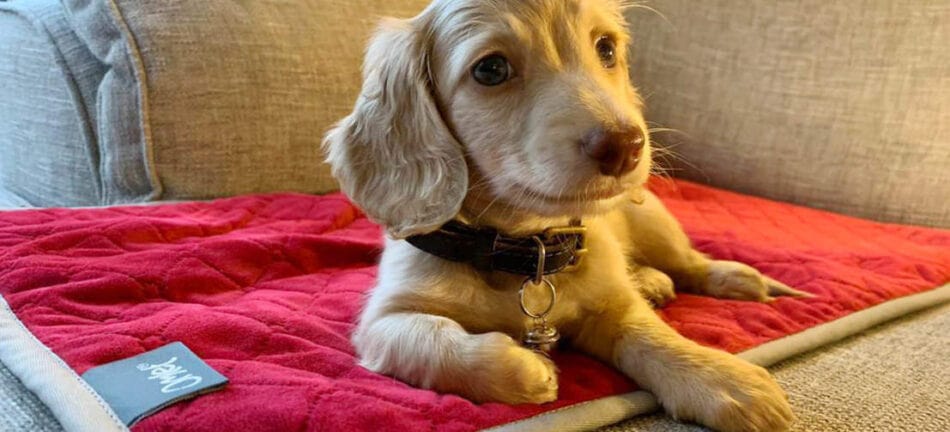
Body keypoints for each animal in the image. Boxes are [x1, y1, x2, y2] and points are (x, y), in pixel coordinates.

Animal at [326, 1, 804, 430]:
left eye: (606, 48)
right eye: (490, 70)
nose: (627, 145)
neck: (524, 248)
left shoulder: (617, 309)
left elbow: (653, 336)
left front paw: (723, 380)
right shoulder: (384, 321)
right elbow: (432, 341)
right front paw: (527, 372)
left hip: (654, 223)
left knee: (687, 261)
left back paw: (728, 277)